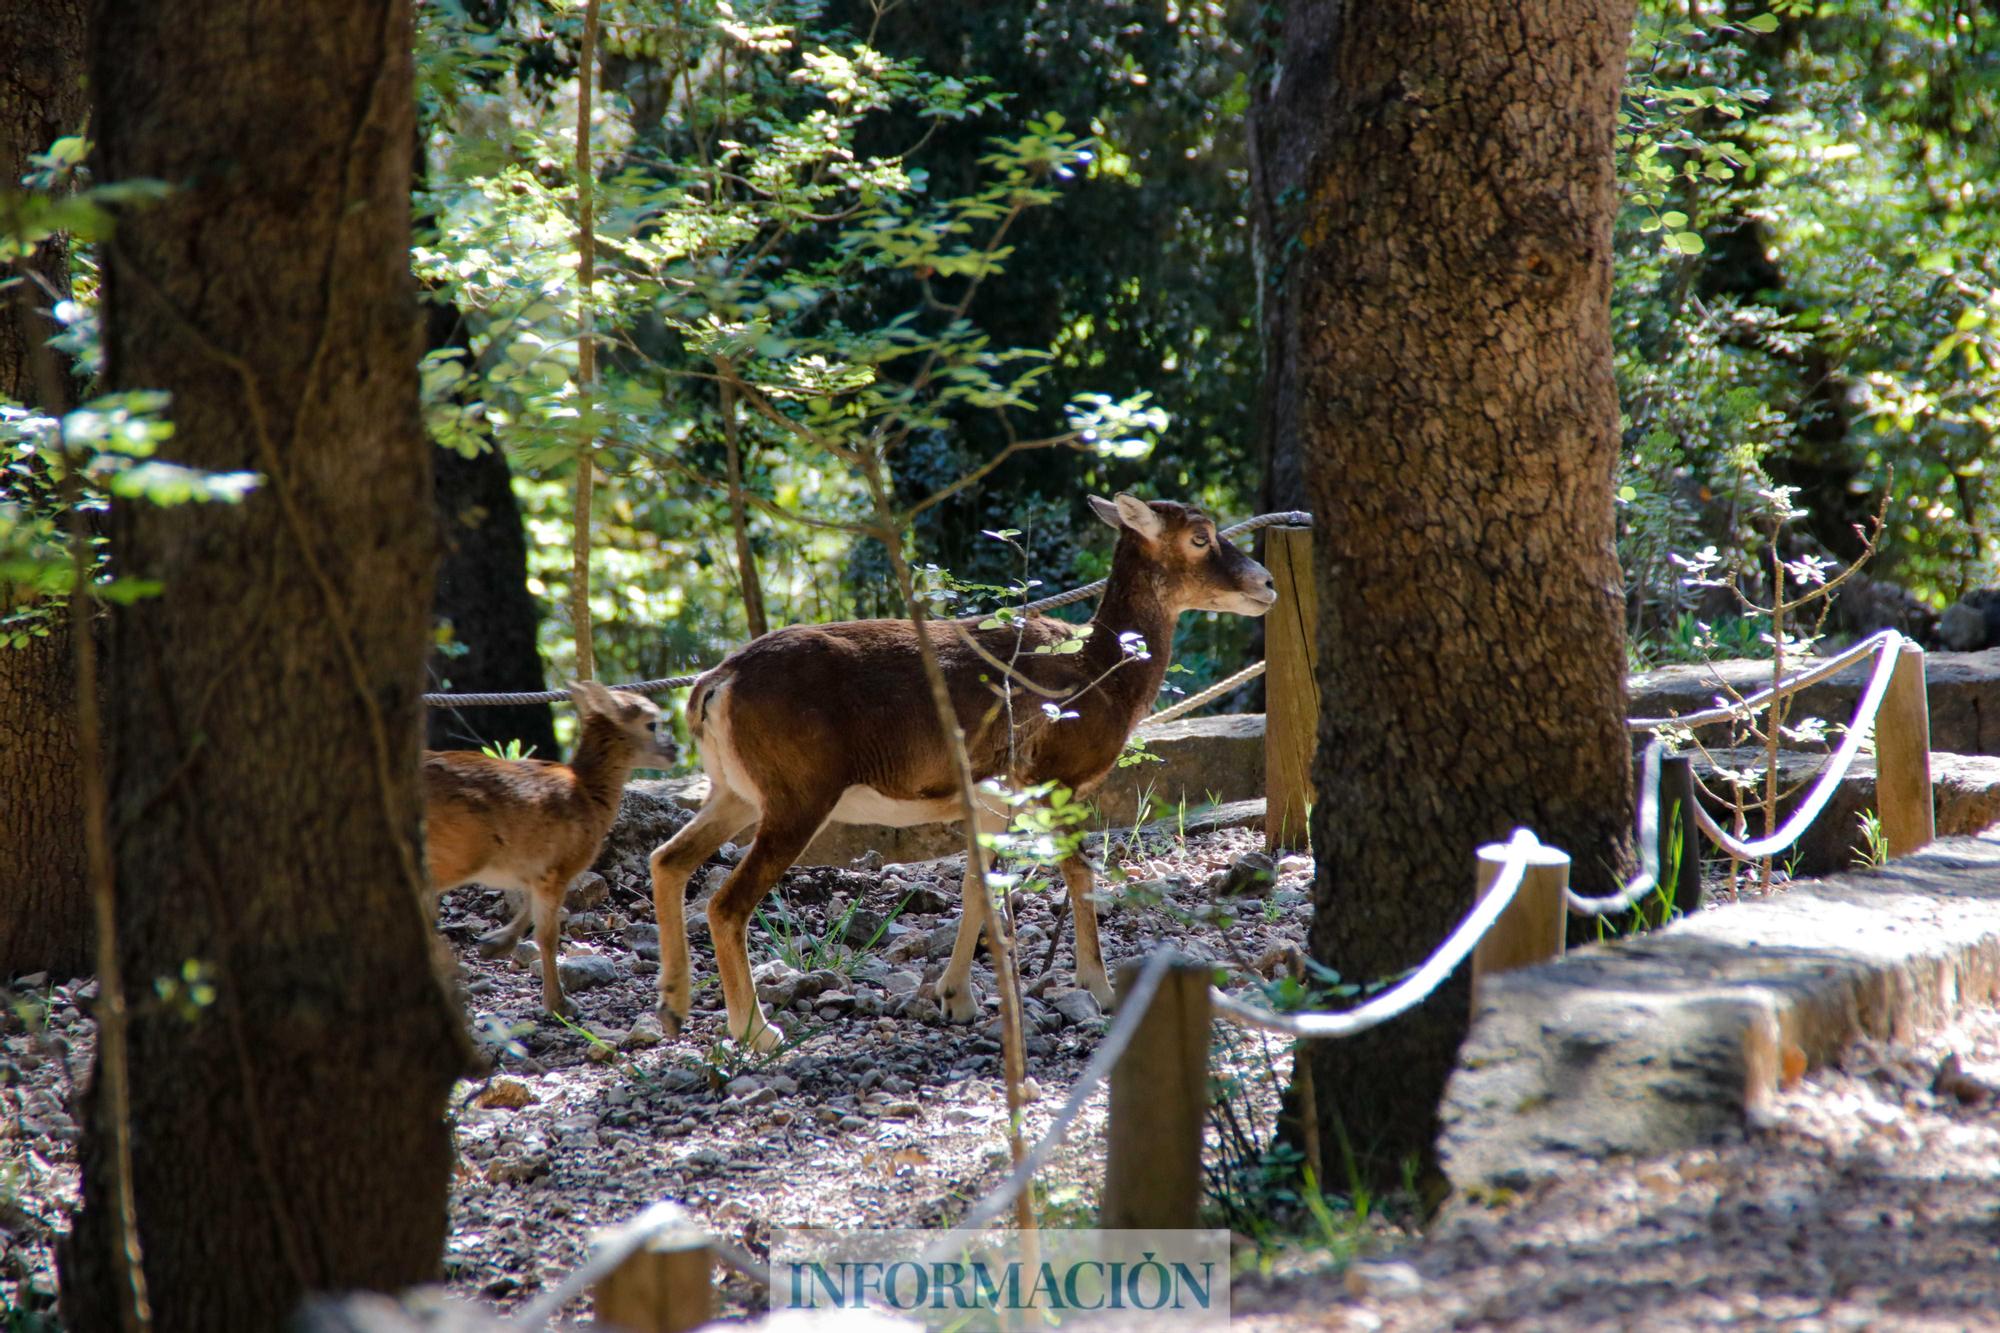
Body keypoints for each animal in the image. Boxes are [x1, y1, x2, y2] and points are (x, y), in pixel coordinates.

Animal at [426, 680, 676, 1012]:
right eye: (652, 723)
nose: (675, 749)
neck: (589, 795)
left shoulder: (534, 869)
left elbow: (528, 912)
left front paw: (494, 945)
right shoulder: (562, 866)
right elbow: (548, 935)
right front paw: (559, 1004)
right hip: (457, 853)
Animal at [644, 496, 1264, 1048]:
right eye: (1201, 536)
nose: (1265, 584)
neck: (1101, 675)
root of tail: (714, 686)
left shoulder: (990, 798)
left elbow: (976, 882)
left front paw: (955, 999)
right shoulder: (1054, 779)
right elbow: (1079, 872)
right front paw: (1101, 991)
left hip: (735, 792)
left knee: (668, 859)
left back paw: (674, 1008)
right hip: (798, 795)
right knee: (726, 903)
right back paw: (756, 1032)